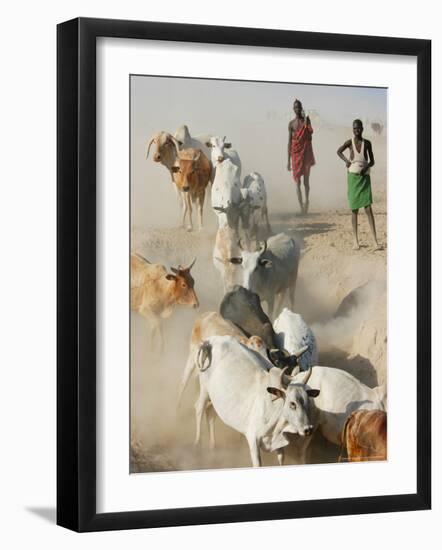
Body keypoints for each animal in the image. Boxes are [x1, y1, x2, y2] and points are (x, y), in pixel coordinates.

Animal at [195, 334, 320, 468]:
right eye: (292, 403)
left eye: (307, 401)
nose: (308, 429)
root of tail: (212, 340)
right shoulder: (253, 439)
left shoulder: (279, 444)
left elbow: (281, 459)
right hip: (204, 388)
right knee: (199, 409)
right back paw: (198, 445)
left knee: (210, 411)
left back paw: (212, 447)